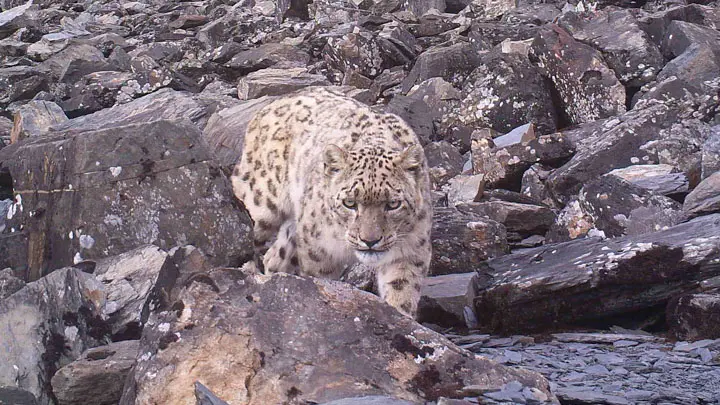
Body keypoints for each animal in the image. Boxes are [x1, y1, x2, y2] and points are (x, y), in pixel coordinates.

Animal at [230, 87, 432, 317]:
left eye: (393, 204)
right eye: (350, 202)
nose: (370, 241)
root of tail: (271, 104)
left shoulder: (410, 249)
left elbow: (402, 290)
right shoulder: (319, 251)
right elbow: (322, 281)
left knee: (275, 255)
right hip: (262, 203)